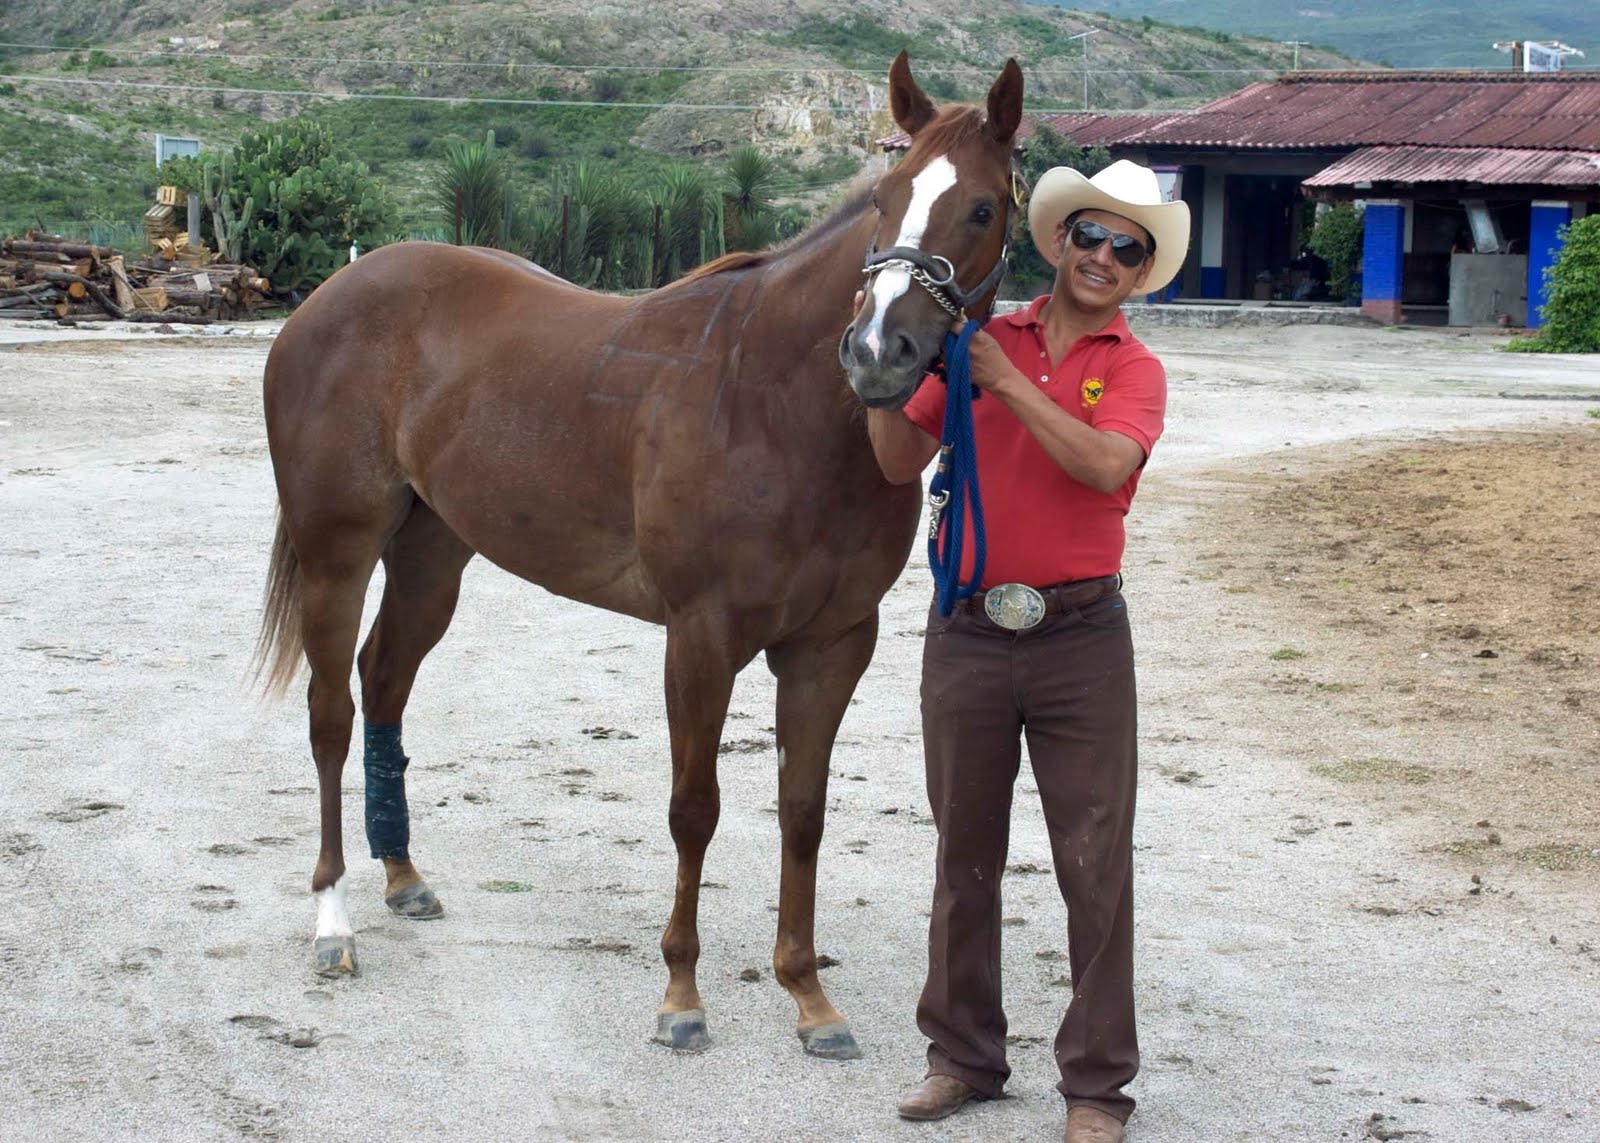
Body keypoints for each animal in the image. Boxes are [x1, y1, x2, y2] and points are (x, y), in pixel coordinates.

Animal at [254, 51, 1023, 1060]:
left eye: (982, 208)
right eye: (886, 198)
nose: (876, 352)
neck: (774, 402)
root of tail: (327, 300)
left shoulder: (831, 645)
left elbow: (803, 811)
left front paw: (809, 998)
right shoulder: (700, 638)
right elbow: (694, 808)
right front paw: (682, 997)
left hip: (432, 556)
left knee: (384, 681)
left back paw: (404, 876)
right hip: (337, 553)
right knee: (330, 715)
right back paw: (333, 922)